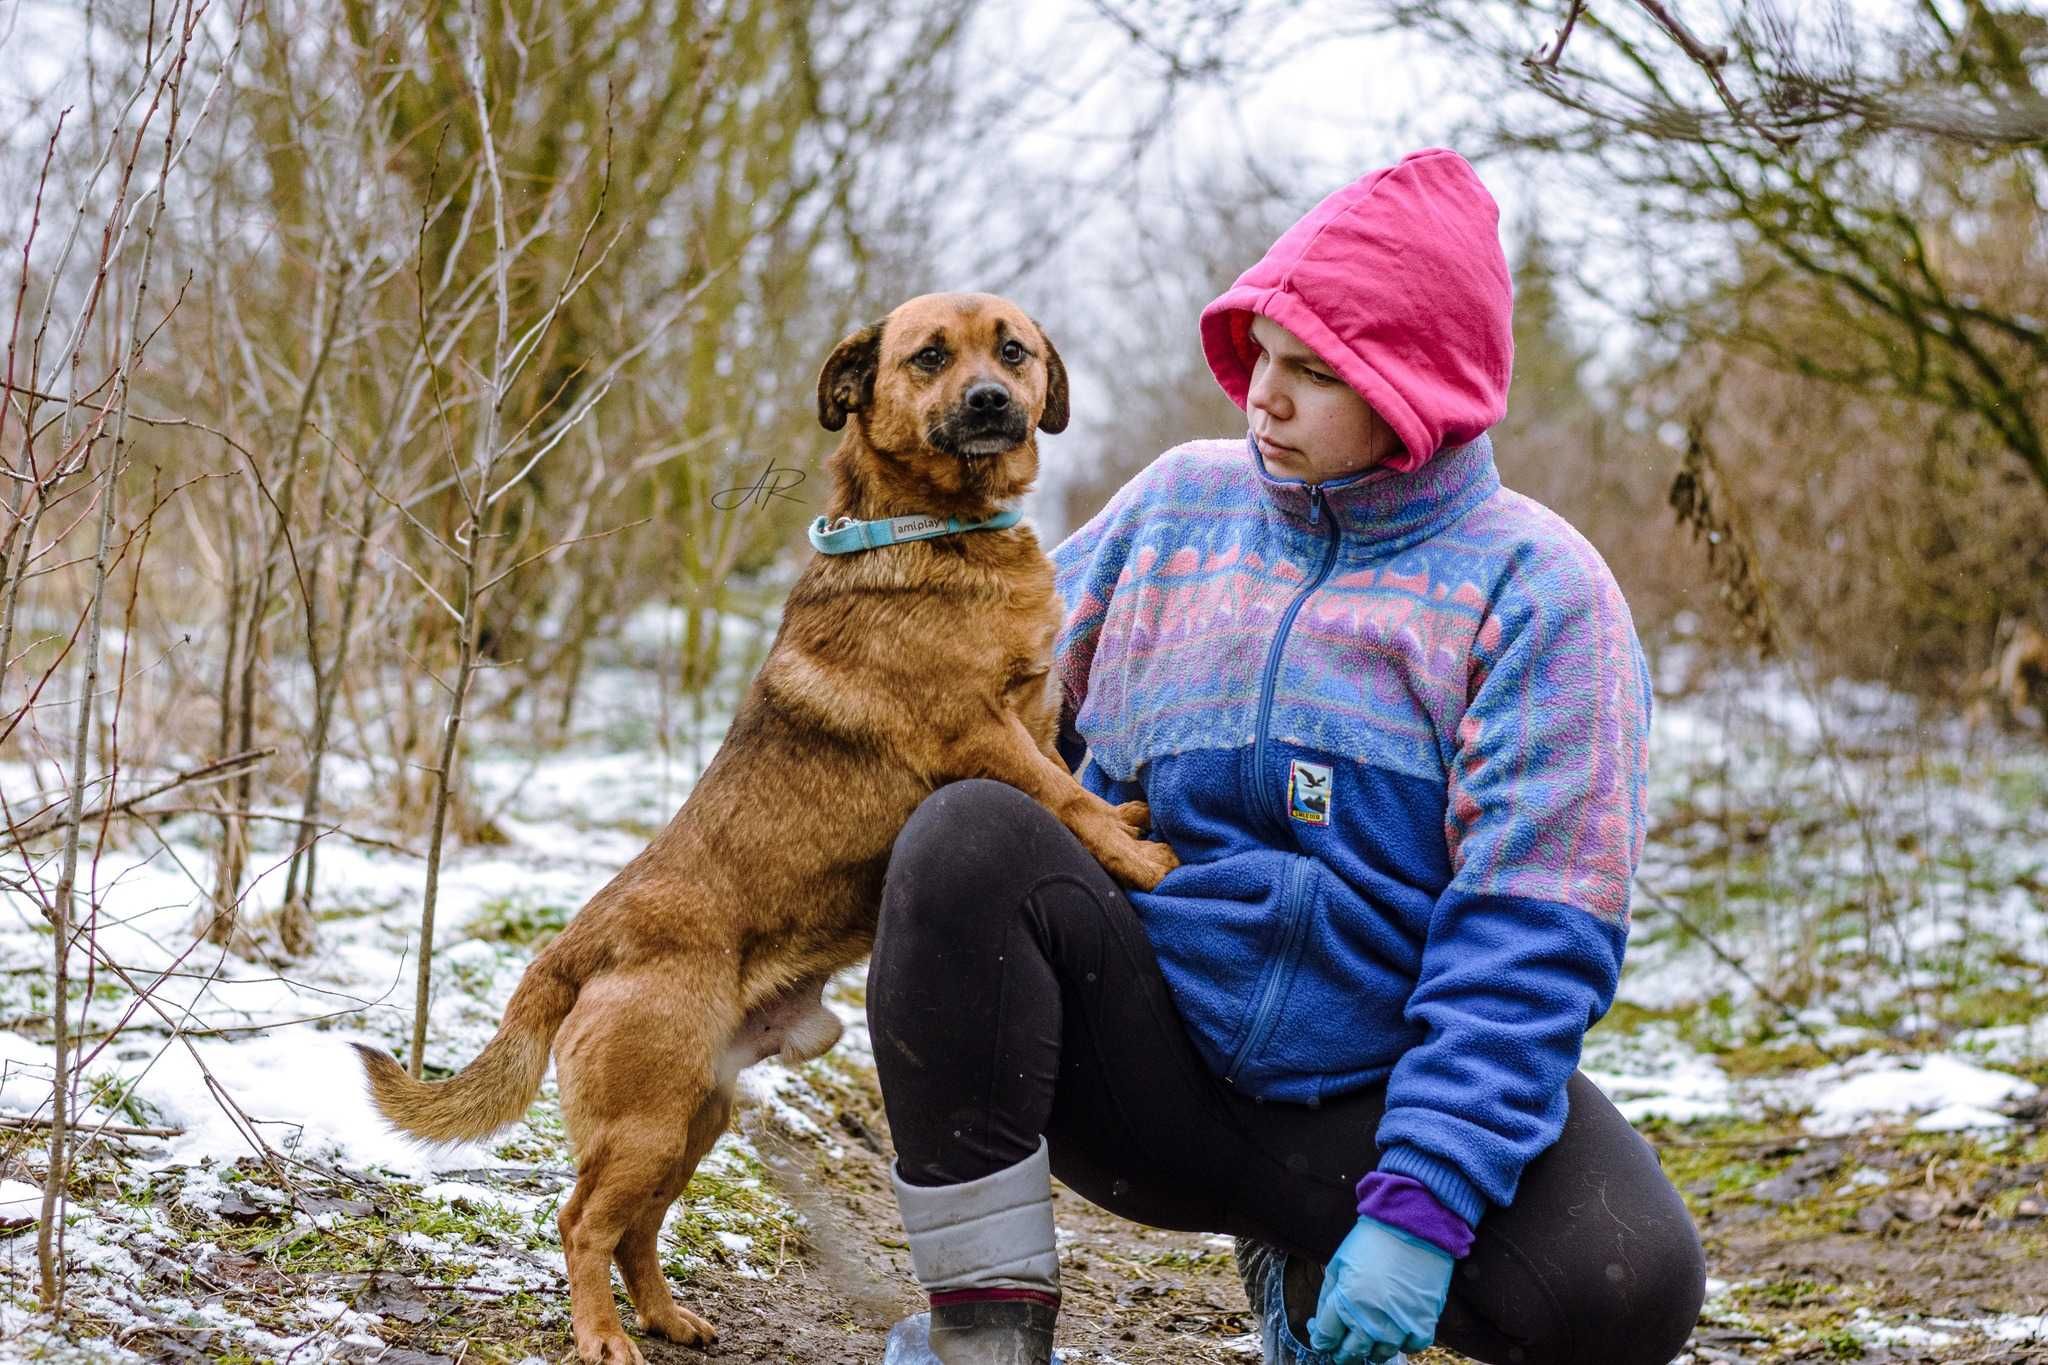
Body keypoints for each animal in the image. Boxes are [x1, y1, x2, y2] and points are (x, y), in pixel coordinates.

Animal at [360, 290, 1179, 1365]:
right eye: (929, 358)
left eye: (1013, 351)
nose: (992, 401)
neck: (941, 527)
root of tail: (567, 952)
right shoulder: (982, 734)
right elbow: (1065, 798)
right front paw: (1138, 854)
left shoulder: (1034, 722)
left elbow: (1071, 781)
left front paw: (1125, 819)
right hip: (648, 1121)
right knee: (581, 1220)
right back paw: (605, 1338)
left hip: (691, 1117)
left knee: (636, 1227)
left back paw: (667, 1316)